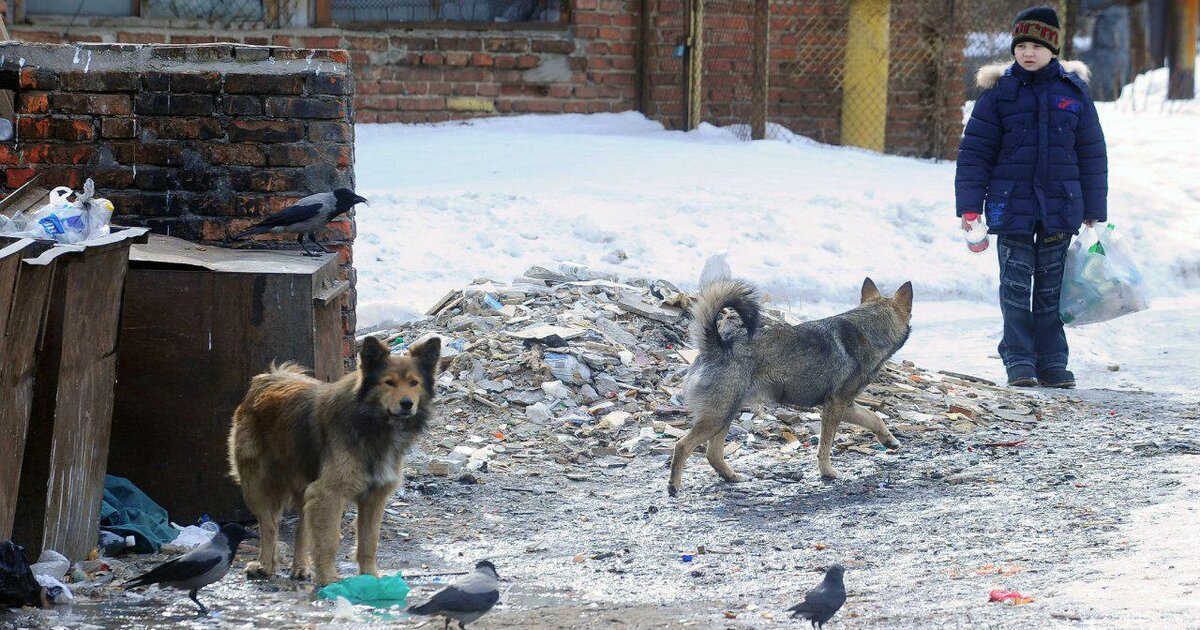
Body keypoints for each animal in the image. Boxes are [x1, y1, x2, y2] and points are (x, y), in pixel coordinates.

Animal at [226, 333, 439, 585]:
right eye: (389, 382)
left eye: (414, 383)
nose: (407, 404)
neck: (371, 425)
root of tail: (269, 377)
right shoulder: (329, 494)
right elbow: (328, 542)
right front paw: (329, 580)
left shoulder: (373, 497)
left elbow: (369, 543)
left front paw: (371, 578)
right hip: (257, 487)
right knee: (269, 527)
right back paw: (264, 566)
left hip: (303, 485)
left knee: (301, 529)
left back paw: (300, 567)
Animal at [667, 276, 907, 496]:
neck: (867, 329)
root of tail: (718, 345)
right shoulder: (835, 406)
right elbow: (826, 446)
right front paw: (827, 472)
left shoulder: (846, 405)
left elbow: (874, 418)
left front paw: (890, 441)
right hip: (717, 416)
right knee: (682, 445)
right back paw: (674, 486)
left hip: (726, 413)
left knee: (713, 454)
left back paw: (732, 477)